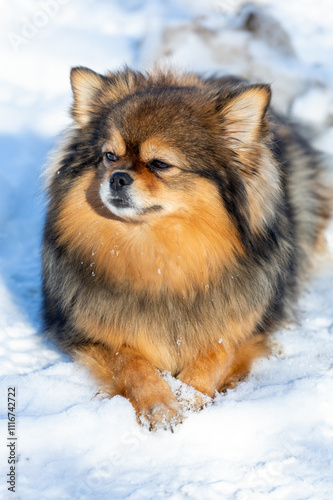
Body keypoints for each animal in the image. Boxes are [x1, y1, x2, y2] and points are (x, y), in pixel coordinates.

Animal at [40, 67, 330, 430]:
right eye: (109, 156)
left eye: (160, 164)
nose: (117, 177)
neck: (160, 255)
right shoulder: (89, 336)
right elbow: (131, 362)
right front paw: (160, 405)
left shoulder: (247, 331)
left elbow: (216, 353)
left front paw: (189, 398)